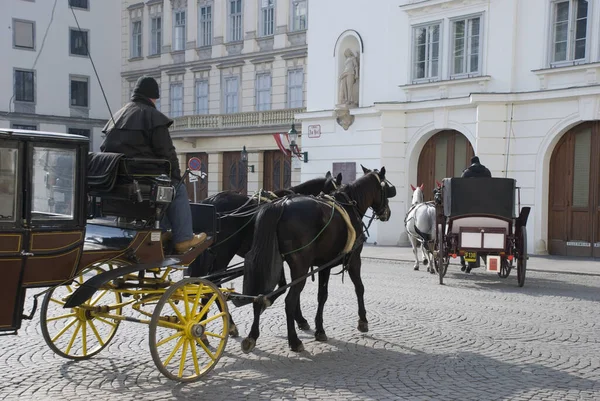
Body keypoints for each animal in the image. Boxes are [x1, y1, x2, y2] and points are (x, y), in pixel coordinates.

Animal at [190, 170, 344, 336]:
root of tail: (211, 201)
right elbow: (288, 287)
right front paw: (299, 318)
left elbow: (287, 285)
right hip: (224, 253)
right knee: (213, 284)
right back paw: (223, 324)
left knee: (205, 283)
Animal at [241, 164, 396, 352]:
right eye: (386, 189)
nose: (387, 213)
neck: (349, 206)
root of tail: (281, 205)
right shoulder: (354, 260)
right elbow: (359, 288)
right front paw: (362, 321)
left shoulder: (324, 265)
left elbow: (322, 295)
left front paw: (319, 329)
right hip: (300, 267)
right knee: (289, 301)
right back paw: (294, 340)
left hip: (274, 262)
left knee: (261, 295)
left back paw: (253, 334)